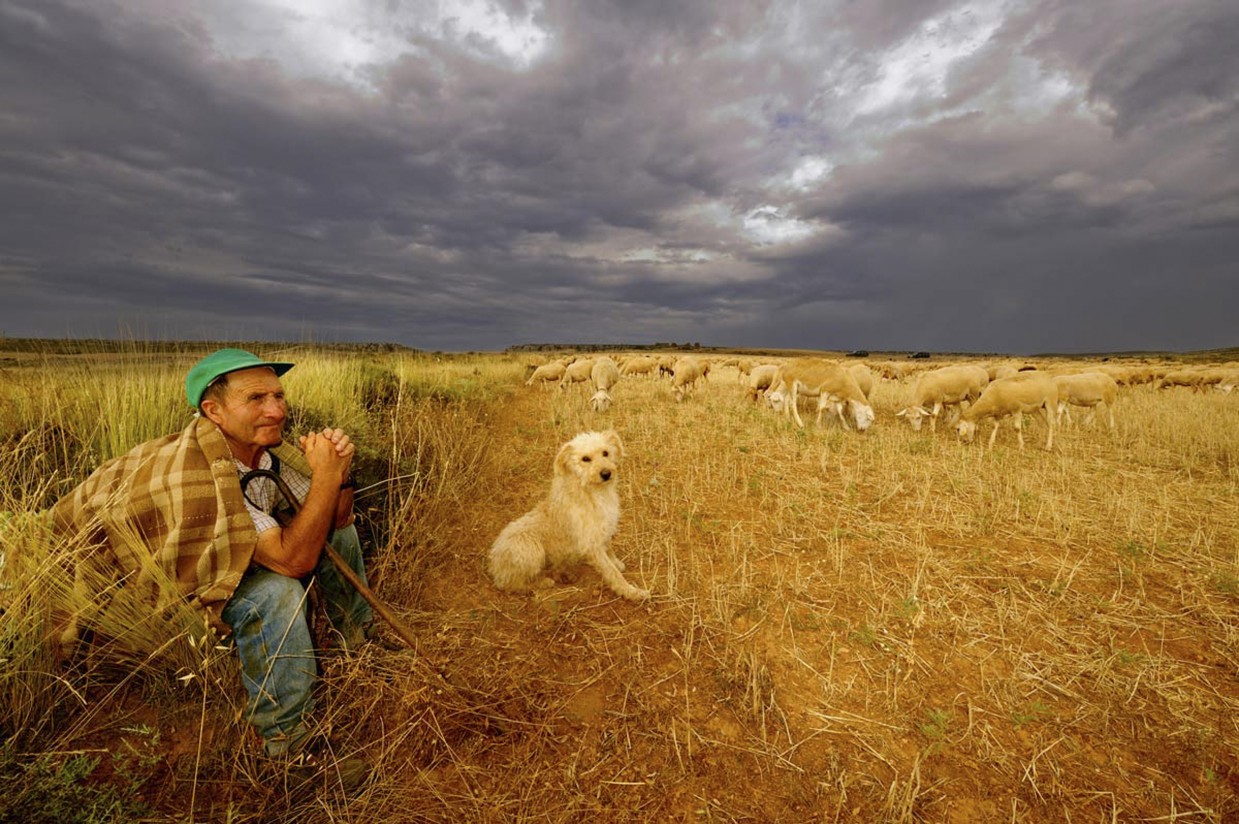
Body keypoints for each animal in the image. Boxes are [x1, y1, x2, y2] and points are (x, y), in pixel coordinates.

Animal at [488, 431, 654, 597]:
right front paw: (632, 592)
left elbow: (609, 548)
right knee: (510, 585)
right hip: (529, 547)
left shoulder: (604, 529)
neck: (592, 491)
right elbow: (612, 573)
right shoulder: (591, 544)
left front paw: (617, 562)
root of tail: (494, 565)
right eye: (585, 459)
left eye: (605, 453)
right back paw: (542, 582)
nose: (606, 473)